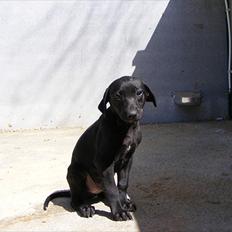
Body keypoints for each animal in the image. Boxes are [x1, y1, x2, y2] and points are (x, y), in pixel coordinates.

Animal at [43, 76, 156, 221]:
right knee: (76, 198)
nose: (132, 114)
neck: (125, 127)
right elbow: (112, 189)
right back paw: (84, 207)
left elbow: (122, 183)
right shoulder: (104, 163)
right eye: (117, 95)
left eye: (139, 93)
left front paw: (124, 202)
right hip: (75, 171)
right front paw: (119, 211)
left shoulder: (128, 159)